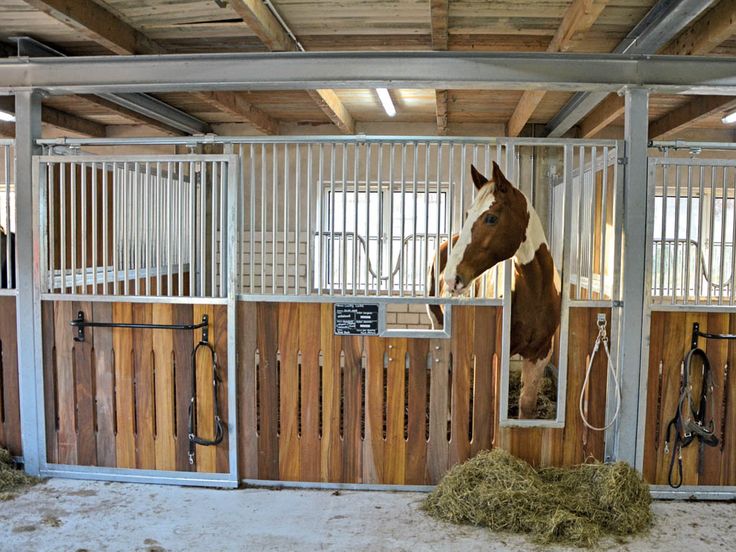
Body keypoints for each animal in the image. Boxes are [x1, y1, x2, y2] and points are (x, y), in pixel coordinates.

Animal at [428, 162, 560, 420]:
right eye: (468, 214)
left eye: (491, 218)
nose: (450, 278)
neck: (535, 292)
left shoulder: (540, 353)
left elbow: (526, 405)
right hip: (438, 323)